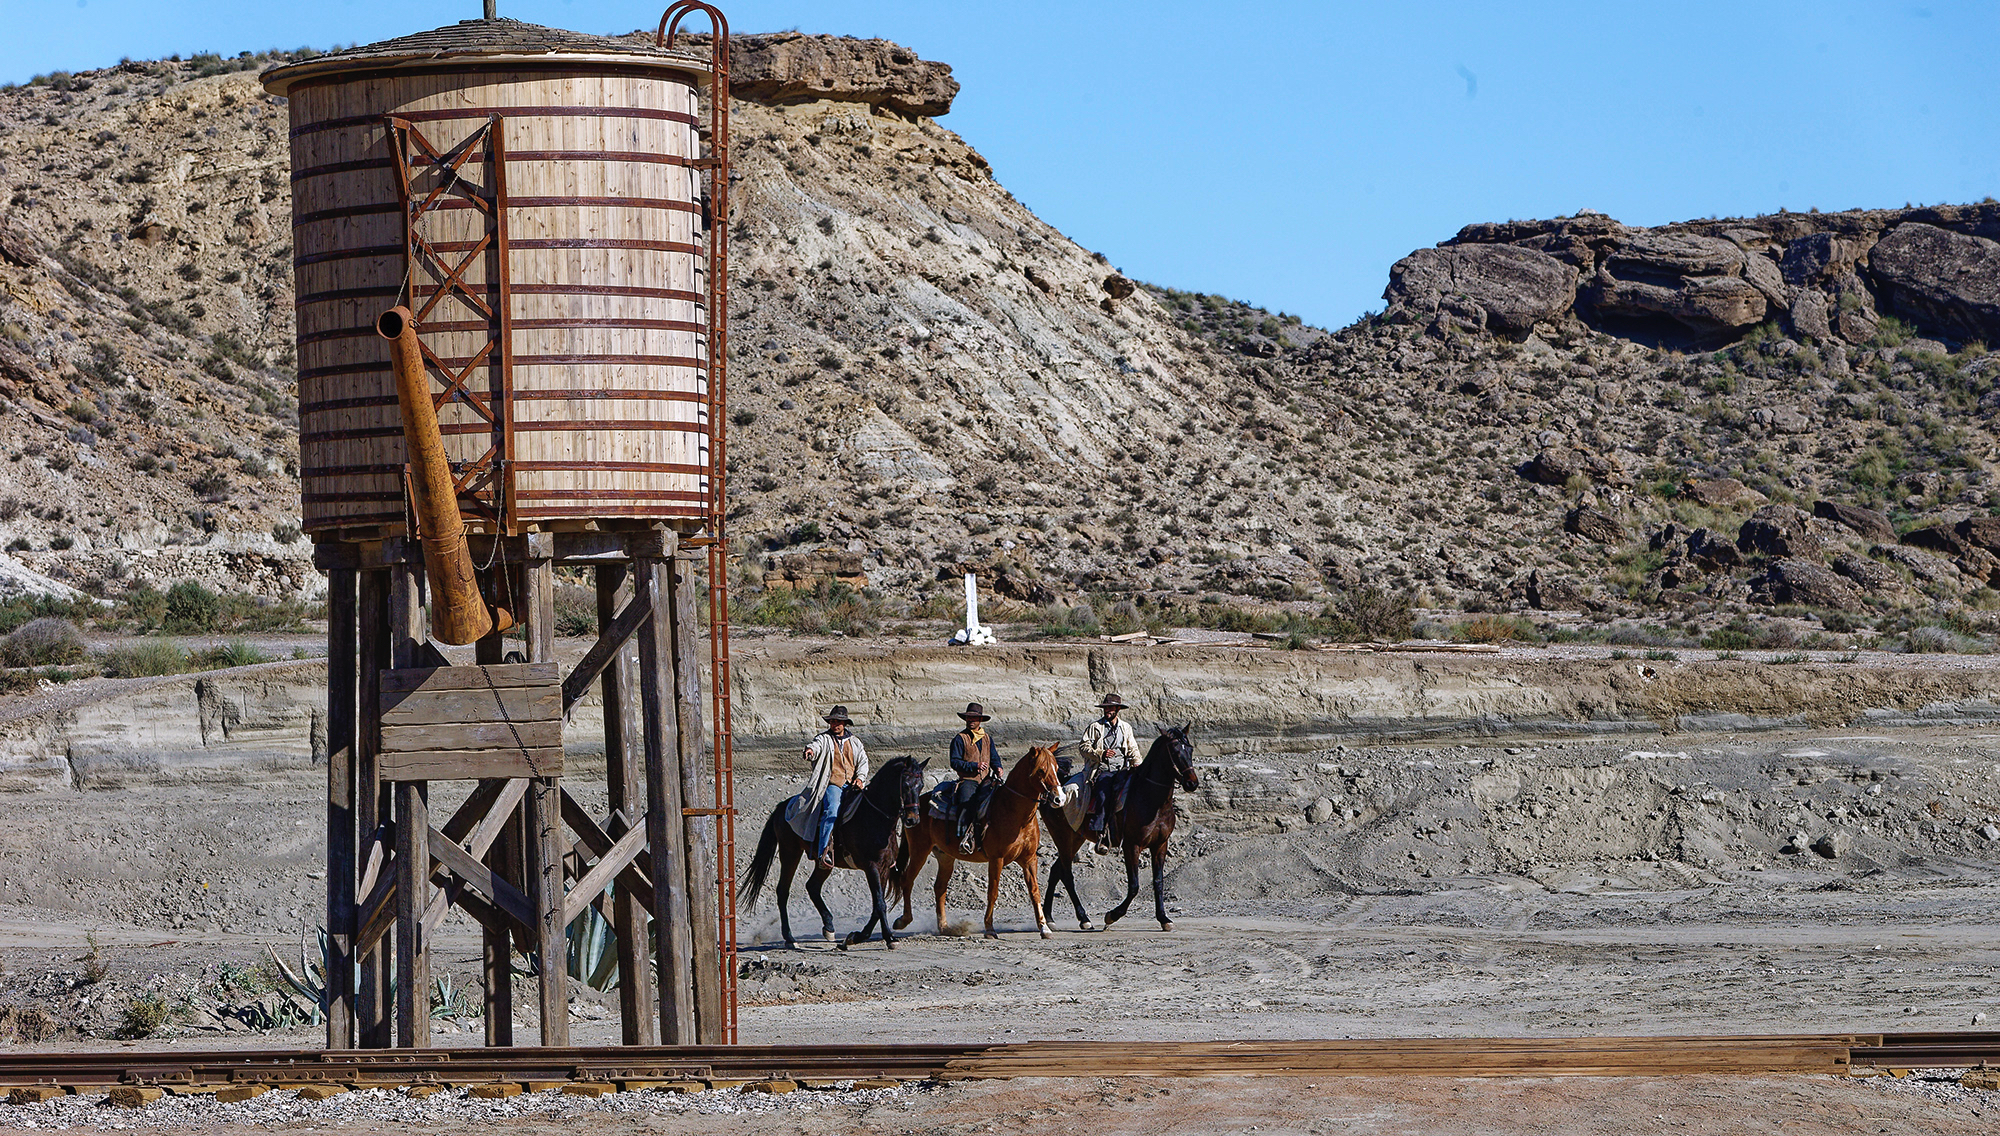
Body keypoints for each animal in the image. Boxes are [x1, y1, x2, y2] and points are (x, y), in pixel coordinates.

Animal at [740, 756, 924, 948]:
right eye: (906, 785)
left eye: (921, 786)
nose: (913, 819)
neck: (874, 816)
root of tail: (782, 806)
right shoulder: (871, 867)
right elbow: (880, 904)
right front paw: (889, 938)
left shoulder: (884, 868)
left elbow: (876, 906)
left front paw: (855, 937)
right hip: (790, 852)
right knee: (783, 890)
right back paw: (790, 938)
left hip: (823, 863)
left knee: (812, 886)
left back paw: (828, 927)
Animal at [900, 740, 1072, 936]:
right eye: (1042, 770)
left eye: (1056, 768)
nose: (1059, 799)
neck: (1015, 813)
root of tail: (914, 806)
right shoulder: (997, 859)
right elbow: (993, 892)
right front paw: (989, 928)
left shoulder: (1029, 859)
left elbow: (1035, 891)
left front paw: (1044, 927)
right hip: (919, 851)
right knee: (907, 880)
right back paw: (903, 921)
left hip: (945, 857)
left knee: (939, 887)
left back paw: (944, 927)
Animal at [1096, 728, 1200, 932]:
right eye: (1175, 751)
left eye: (1190, 749)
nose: (1192, 783)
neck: (1153, 802)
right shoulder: (1131, 845)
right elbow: (1134, 885)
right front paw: (1111, 915)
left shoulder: (1160, 845)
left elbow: (1158, 882)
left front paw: (1164, 918)